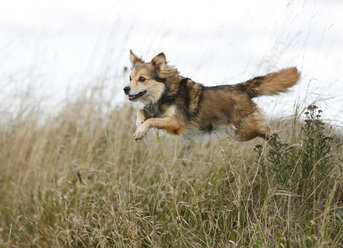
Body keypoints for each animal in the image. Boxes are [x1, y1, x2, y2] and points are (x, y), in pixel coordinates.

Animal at [124, 50, 300, 141]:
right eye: (130, 78)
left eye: (142, 79)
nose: (125, 89)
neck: (165, 92)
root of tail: (242, 86)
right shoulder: (157, 111)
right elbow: (141, 111)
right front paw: (139, 123)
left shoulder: (177, 122)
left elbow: (152, 120)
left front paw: (140, 131)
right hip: (237, 133)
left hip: (245, 130)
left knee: (268, 130)